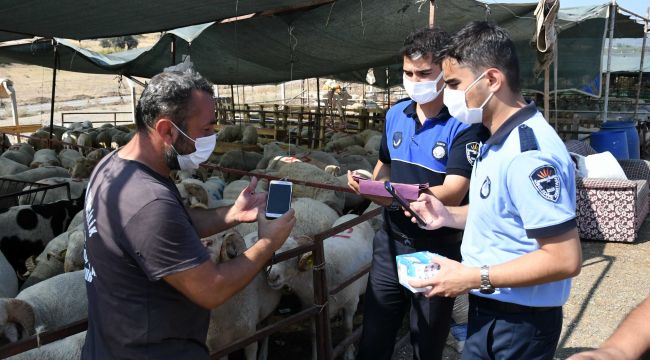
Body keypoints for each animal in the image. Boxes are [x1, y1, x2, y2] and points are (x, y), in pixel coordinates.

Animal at [264, 215, 374, 358]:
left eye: (292, 255)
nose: (272, 277)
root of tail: (352, 215)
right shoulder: (312, 308)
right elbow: (314, 333)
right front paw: (315, 355)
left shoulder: (351, 302)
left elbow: (348, 329)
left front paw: (349, 354)